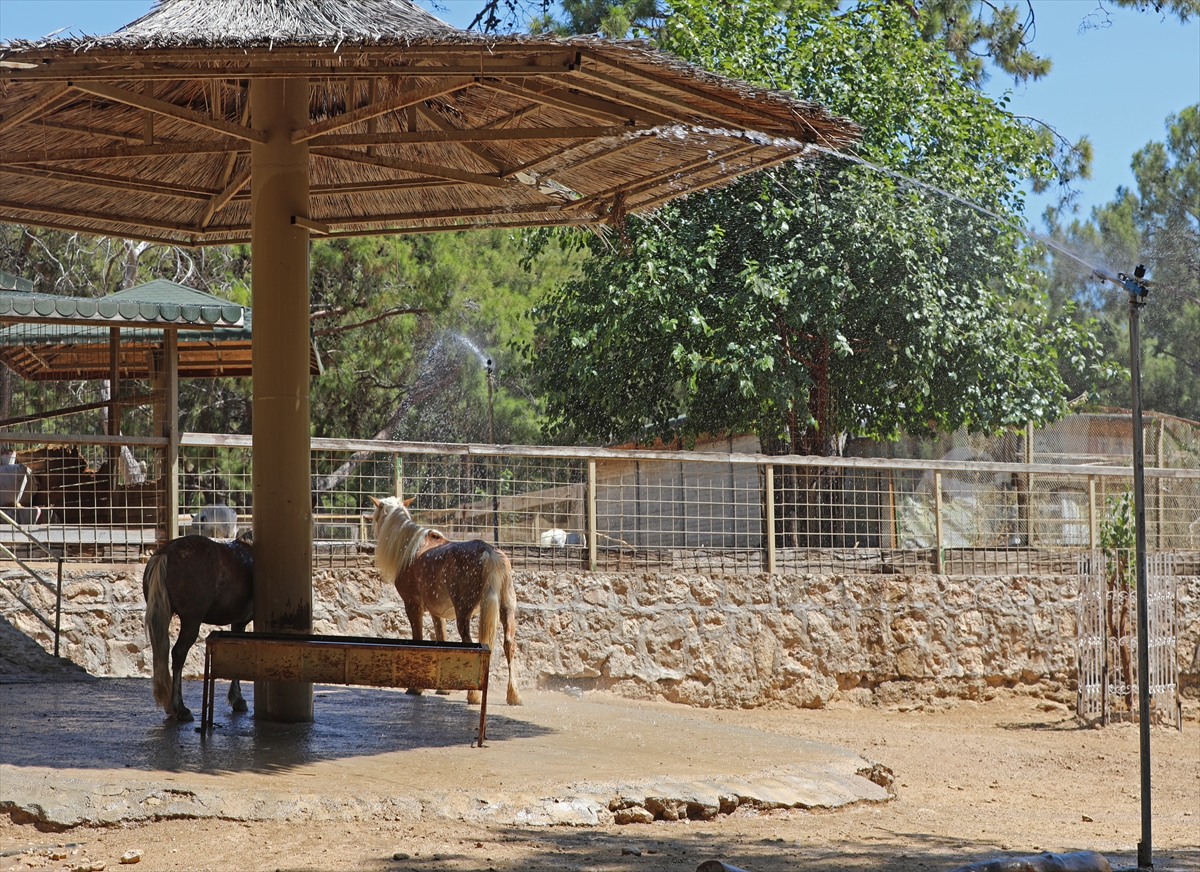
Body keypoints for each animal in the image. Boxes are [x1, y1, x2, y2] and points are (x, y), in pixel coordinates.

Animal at [144, 532, 254, 724]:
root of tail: (167, 553)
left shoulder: (238, 623)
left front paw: (237, 698)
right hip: (191, 621)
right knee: (178, 653)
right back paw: (180, 708)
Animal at [369, 494, 520, 705]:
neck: (411, 547)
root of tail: (488, 551)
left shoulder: (413, 606)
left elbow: (418, 639)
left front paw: (416, 687)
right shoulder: (436, 612)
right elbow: (441, 639)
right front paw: (442, 688)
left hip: (463, 612)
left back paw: (473, 695)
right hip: (507, 609)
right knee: (509, 644)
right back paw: (514, 695)